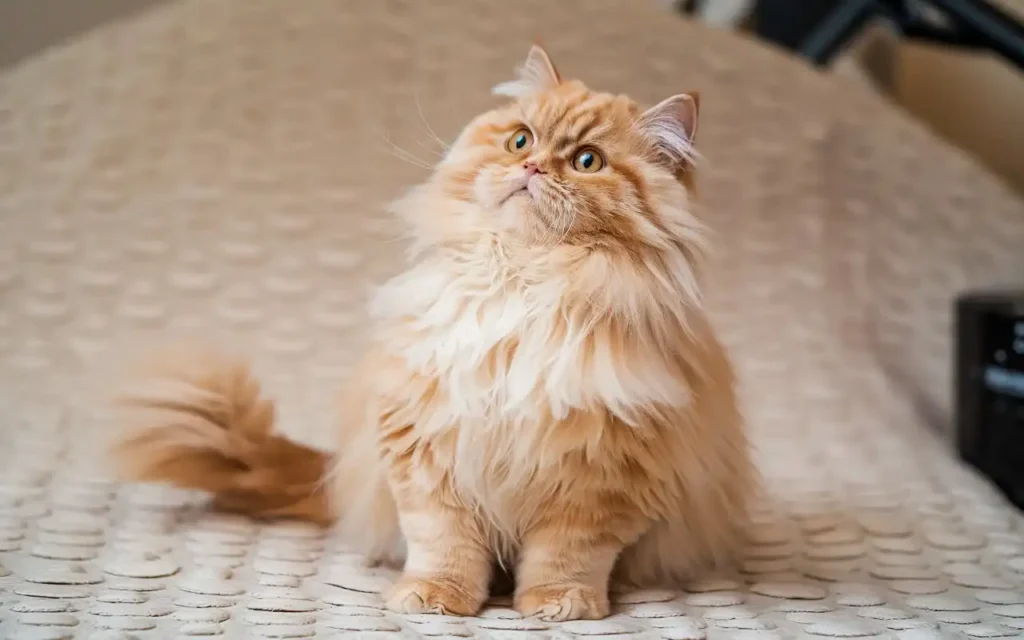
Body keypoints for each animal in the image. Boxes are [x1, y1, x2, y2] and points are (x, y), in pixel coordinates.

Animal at [112, 43, 757, 618]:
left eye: (587, 162)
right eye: (520, 140)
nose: (529, 167)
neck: (522, 281)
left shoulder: (602, 480)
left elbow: (566, 557)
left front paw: (558, 605)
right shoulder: (428, 449)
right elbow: (444, 545)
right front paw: (435, 599)